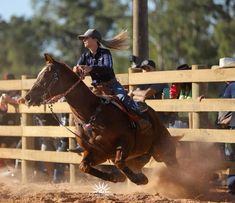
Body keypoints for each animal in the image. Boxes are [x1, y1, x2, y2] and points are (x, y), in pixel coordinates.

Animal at [23, 54, 179, 186]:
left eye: (47, 75)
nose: (28, 98)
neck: (92, 113)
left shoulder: (125, 141)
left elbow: (119, 162)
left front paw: (139, 179)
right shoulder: (99, 153)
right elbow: (84, 167)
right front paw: (116, 177)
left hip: (164, 149)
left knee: (176, 167)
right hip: (140, 155)